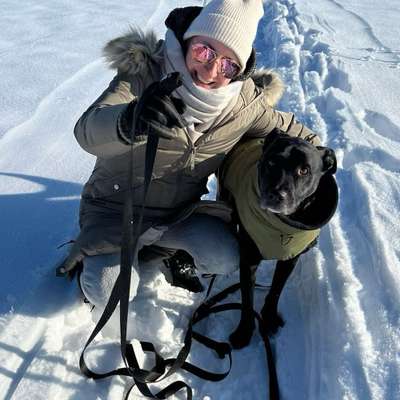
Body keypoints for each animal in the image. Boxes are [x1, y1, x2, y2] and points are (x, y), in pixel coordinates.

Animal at [219, 130, 338, 348]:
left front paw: (269, 318)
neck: (281, 227)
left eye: (304, 170)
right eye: (272, 162)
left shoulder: (290, 259)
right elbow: (247, 299)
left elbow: (276, 289)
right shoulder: (249, 259)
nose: (276, 195)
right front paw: (244, 332)